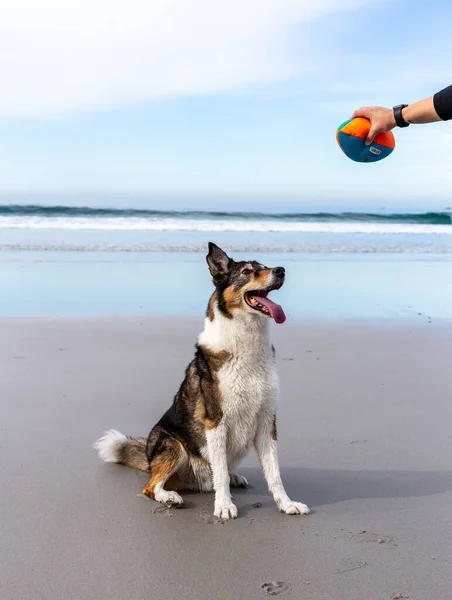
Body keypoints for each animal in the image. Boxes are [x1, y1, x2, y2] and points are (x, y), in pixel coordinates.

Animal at [93, 244, 308, 520]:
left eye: (265, 266)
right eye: (247, 271)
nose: (281, 270)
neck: (246, 344)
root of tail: (149, 458)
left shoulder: (266, 422)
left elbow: (274, 474)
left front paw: (287, 504)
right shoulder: (216, 421)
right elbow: (221, 474)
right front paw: (224, 506)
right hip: (172, 443)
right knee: (151, 486)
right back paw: (170, 497)